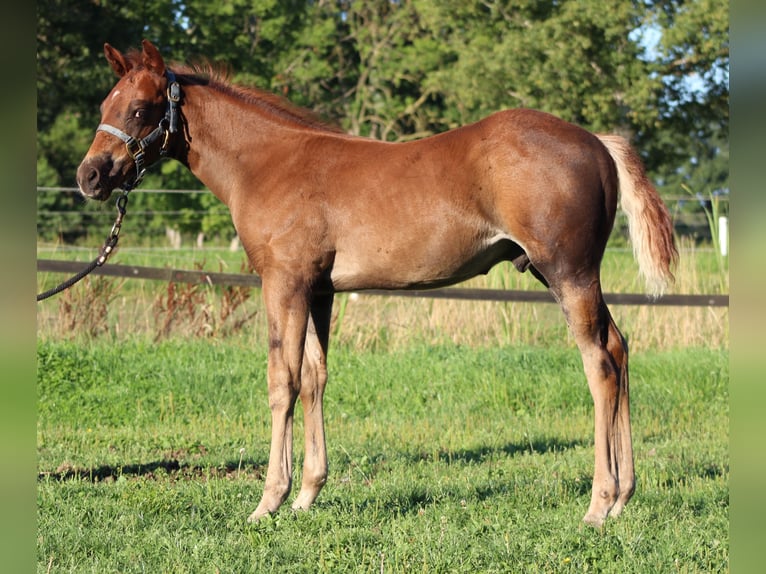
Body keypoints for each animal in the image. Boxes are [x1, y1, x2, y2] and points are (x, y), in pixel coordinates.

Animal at [76, 40, 677, 527]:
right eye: (104, 106)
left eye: (139, 109)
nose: (90, 176)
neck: (269, 161)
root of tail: (597, 142)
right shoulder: (318, 290)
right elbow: (314, 378)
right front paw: (307, 496)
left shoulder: (284, 283)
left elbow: (281, 382)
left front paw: (269, 501)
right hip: (575, 276)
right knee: (619, 349)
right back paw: (625, 496)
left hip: (567, 272)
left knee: (599, 364)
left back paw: (599, 503)